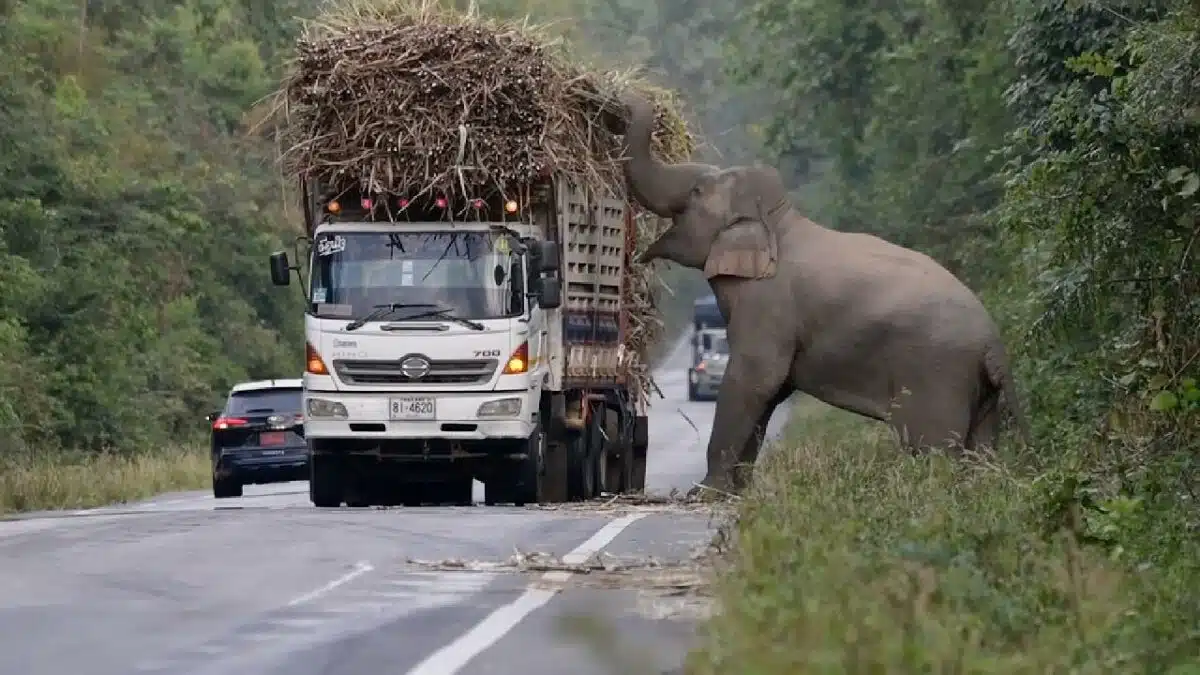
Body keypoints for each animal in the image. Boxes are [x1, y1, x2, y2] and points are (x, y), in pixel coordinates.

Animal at [614, 91, 1027, 492]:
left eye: (698, 191)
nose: (622, 101)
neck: (777, 220)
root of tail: (993, 342)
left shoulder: (767, 303)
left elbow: (755, 377)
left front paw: (705, 493)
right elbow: (771, 389)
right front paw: (737, 492)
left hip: (937, 374)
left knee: (934, 450)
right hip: (978, 389)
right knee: (980, 448)